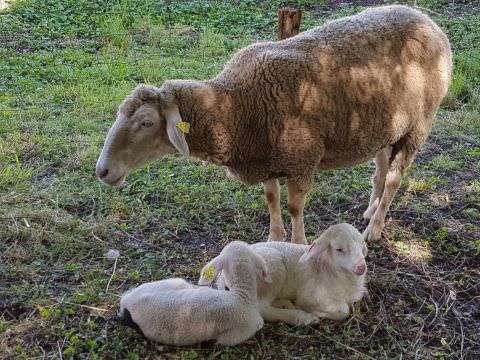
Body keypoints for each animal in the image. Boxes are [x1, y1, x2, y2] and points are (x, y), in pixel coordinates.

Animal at [96, 5, 450, 243]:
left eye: (146, 122)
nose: (102, 171)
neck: (236, 106)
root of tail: (428, 21)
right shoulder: (266, 155)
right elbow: (271, 199)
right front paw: (274, 238)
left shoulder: (302, 159)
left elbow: (294, 207)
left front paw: (298, 243)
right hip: (386, 127)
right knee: (380, 172)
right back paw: (369, 212)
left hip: (418, 126)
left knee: (393, 179)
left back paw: (374, 229)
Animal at [218, 224, 368, 324]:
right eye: (339, 249)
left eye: (362, 244)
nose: (361, 267)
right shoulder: (310, 296)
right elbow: (344, 310)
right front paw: (312, 311)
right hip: (272, 272)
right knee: (262, 309)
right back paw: (302, 317)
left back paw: (285, 303)